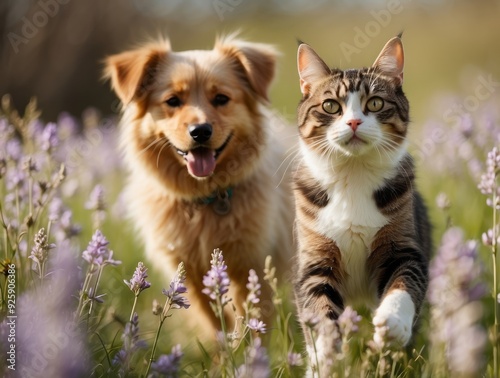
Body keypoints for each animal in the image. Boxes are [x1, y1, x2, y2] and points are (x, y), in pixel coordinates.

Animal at [104, 36, 294, 334]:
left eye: (221, 99)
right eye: (172, 101)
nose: (200, 131)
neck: (205, 197)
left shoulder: (250, 266)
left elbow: (250, 322)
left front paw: (248, 347)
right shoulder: (189, 274)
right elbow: (213, 322)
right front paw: (225, 346)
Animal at [294, 36, 432, 372]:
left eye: (375, 103)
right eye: (331, 105)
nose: (354, 121)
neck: (353, 177)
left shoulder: (404, 246)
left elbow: (405, 281)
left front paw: (392, 324)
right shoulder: (315, 260)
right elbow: (319, 308)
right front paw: (324, 356)